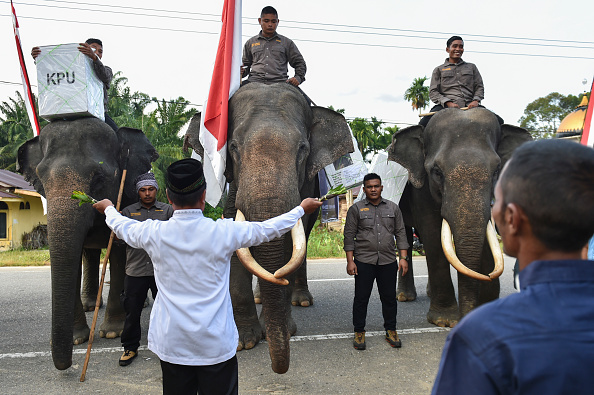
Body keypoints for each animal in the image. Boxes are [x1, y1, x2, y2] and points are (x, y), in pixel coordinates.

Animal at [17, 118, 157, 372]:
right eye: (41, 178)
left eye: (99, 177)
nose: (66, 367)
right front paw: (76, 339)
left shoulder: (126, 197)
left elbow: (119, 252)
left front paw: (112, 333)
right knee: (88, 254)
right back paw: (90, 306)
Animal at [185, 81, 352, 374]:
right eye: (234, 147)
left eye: (302, 148)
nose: (279, 368)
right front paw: (245, 341)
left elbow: (288, 245)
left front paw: (285, 328)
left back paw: (300, 299)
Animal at [386, 107, 528, 328]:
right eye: (437, 172)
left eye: (497, 170)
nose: (466, 317)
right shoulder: (421, 189)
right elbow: (433, 234)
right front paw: (445, 320)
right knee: (407, 237)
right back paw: (405, 297)